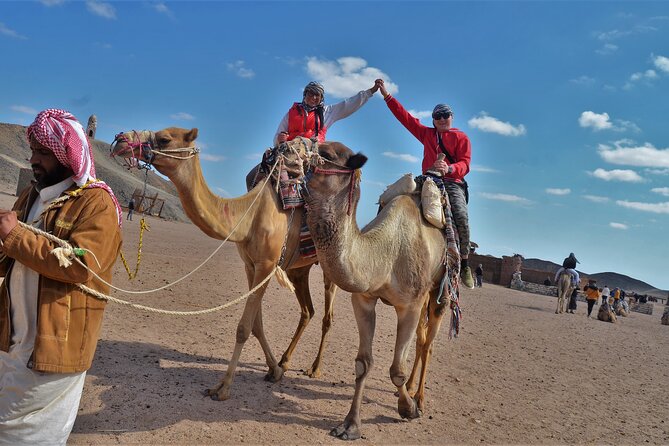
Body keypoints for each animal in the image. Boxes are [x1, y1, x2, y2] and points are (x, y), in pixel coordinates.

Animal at [111, 127, 338, 401]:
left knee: (327, 316)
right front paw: (274, 370)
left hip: (330, 266)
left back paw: (315, 368)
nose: (121, 140)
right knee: (307, 311)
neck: (249, 216)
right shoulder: (251, 265)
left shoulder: (267, 264)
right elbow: (256, 325)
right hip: (299, 269)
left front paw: (223, 387)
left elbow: (244, 327)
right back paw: (285, 361)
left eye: (164, 138)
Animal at [304, 141, 459, 440]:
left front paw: (409, 410)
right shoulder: (364, 298)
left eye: (326, 154)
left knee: (428, 343)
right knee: (421, 340)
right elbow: (363, 363)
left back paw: (419, 397)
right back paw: (409, 390)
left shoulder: (409, 306)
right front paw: (350, 425)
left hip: (439, 291)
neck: (385, 256)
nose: (279, 150)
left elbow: (396, 369)